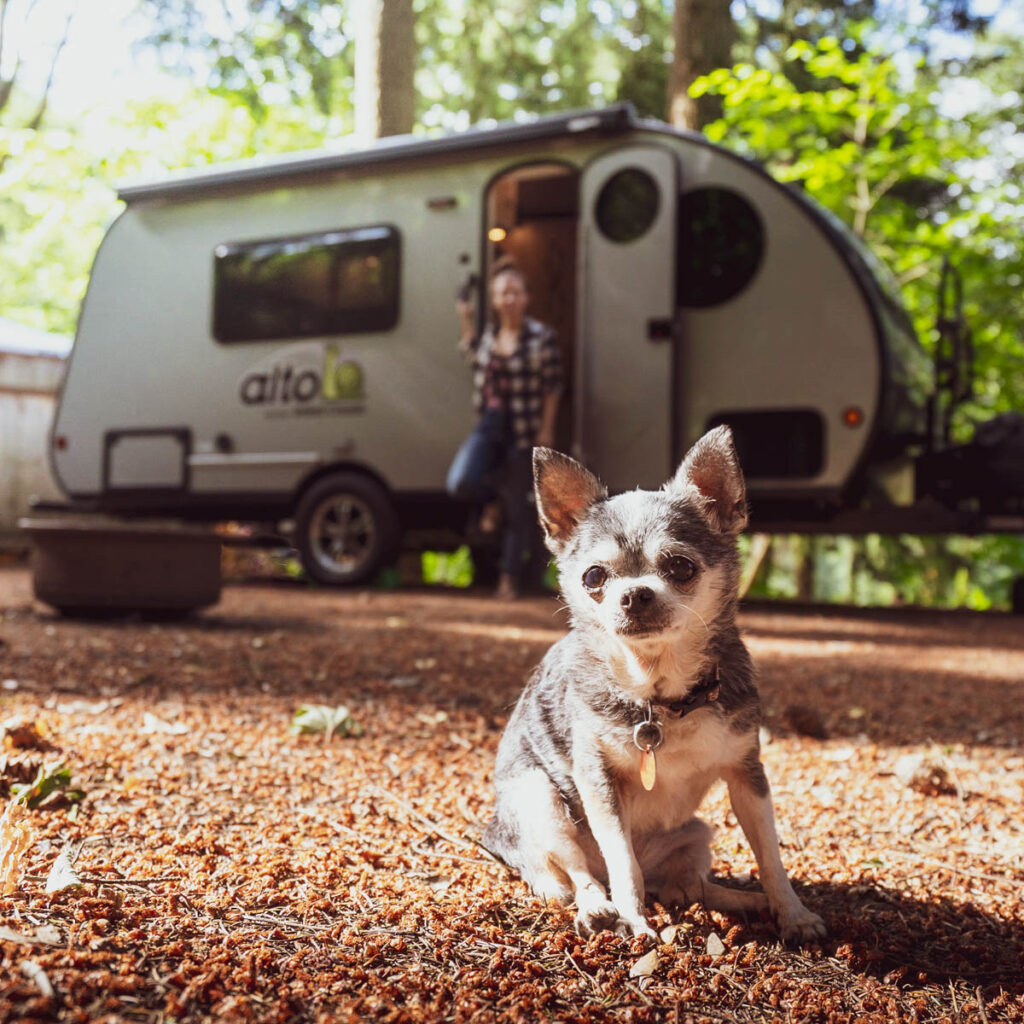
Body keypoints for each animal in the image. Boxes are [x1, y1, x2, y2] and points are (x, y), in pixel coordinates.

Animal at [483, 425, 827, 942]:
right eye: (593, 577)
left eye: (681, 567)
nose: (635, 594)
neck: (661, 698)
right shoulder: (599, 784)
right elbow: (623, 865)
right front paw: (634, 922)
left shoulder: (748, 777)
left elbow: (770, 855)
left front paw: (792, 913)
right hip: (540, 801)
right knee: (580, 873)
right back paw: (597, 908)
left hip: (697, 833)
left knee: (687, 887)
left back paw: (742, 901)